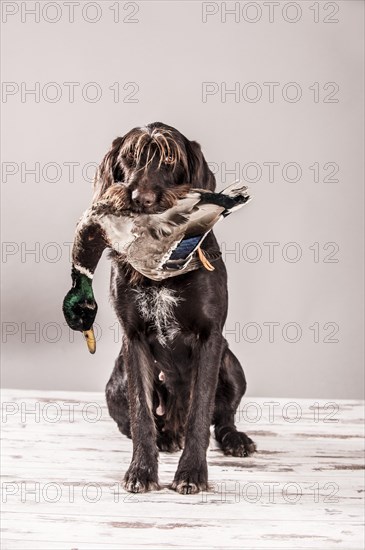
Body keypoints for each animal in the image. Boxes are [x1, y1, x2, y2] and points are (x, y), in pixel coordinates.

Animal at [94, 124, 256, 496]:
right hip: (115, 384)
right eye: (130, 157)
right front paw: (141, 470)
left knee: (222, 417)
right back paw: (166, 437)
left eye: (170, 159)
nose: (141, 199)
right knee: (140, 422)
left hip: (232, 364)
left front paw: (192, 472)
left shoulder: (210, 337)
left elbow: (201, 411)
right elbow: (141, 414)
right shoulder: (134, 339)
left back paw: (235, 439)